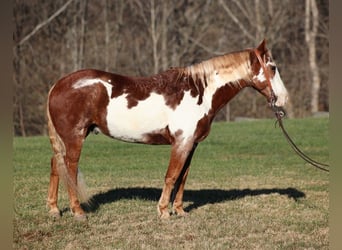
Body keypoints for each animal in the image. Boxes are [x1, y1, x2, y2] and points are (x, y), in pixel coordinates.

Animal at [46, 39, 288, 221]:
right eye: (273, 67)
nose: (283, 99)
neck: (200, 91)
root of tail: (58, 84)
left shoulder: (192, 144)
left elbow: (183, 178)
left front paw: (179, 210)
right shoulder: (181, 143)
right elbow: (171, 176)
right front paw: (163, 211)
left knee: (56, 166)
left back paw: (54, 209)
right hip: (75, 138)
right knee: (69, 168)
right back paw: (78, 212)